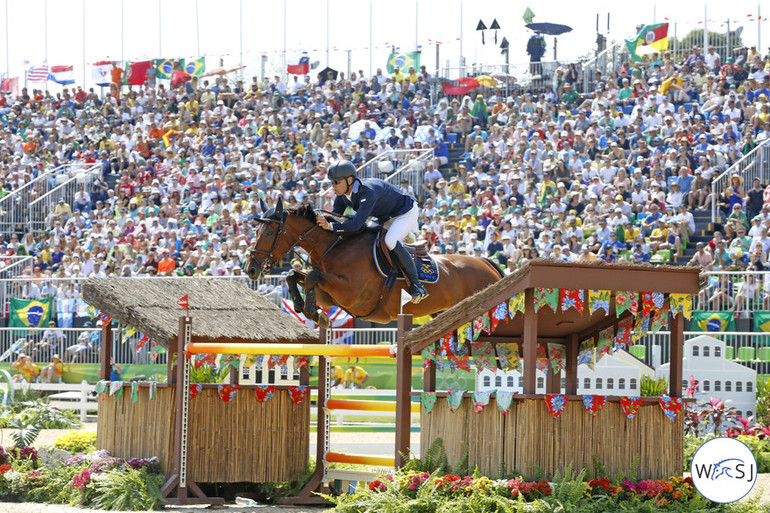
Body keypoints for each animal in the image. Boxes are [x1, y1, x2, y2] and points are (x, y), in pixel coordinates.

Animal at [243, 198, 500, 326]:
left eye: (269, 232)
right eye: (256, 230)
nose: (251, 269)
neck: (335, 247)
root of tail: (486, 263)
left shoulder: (351, 293)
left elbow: (312, 277)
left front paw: (315, 314)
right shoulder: (329, 292)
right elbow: (294, 275)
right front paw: (302, 307)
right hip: (442, 313)